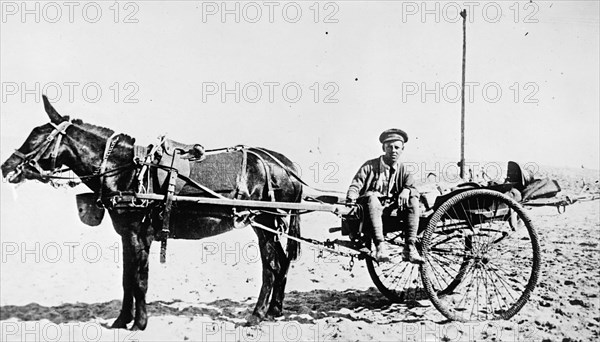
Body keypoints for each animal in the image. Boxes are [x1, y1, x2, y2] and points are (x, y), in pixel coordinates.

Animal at [0, 95, 300, 328]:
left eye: (36, 138)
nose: (6, 167)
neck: (127, 172)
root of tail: (285, 164)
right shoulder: (126, 235)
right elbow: (126, 279)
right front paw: (122, 320)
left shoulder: (139, 234)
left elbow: (140, 279)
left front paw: (140, 323)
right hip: (267, 224)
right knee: (282, 261)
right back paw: (274, 310)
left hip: (264, 221)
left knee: (271, 266)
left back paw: (257, 314)